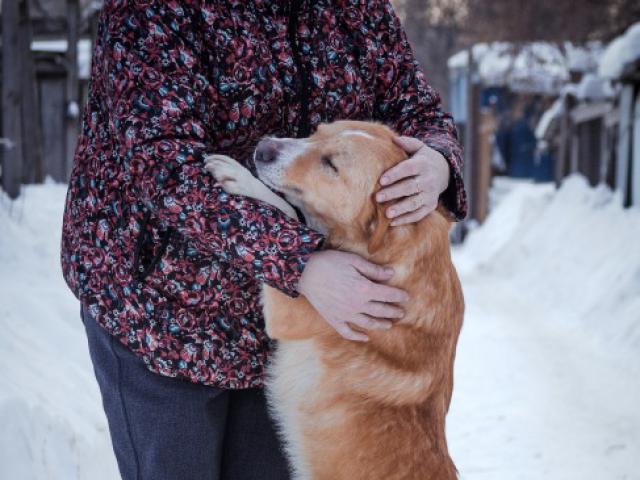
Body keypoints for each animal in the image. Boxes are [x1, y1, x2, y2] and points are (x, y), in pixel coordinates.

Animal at [208, 121, 462, 480]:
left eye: (331, 165)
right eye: (317, 131)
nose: (264, 148)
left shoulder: (287, 310)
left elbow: (285, 211)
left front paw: (240, 178)